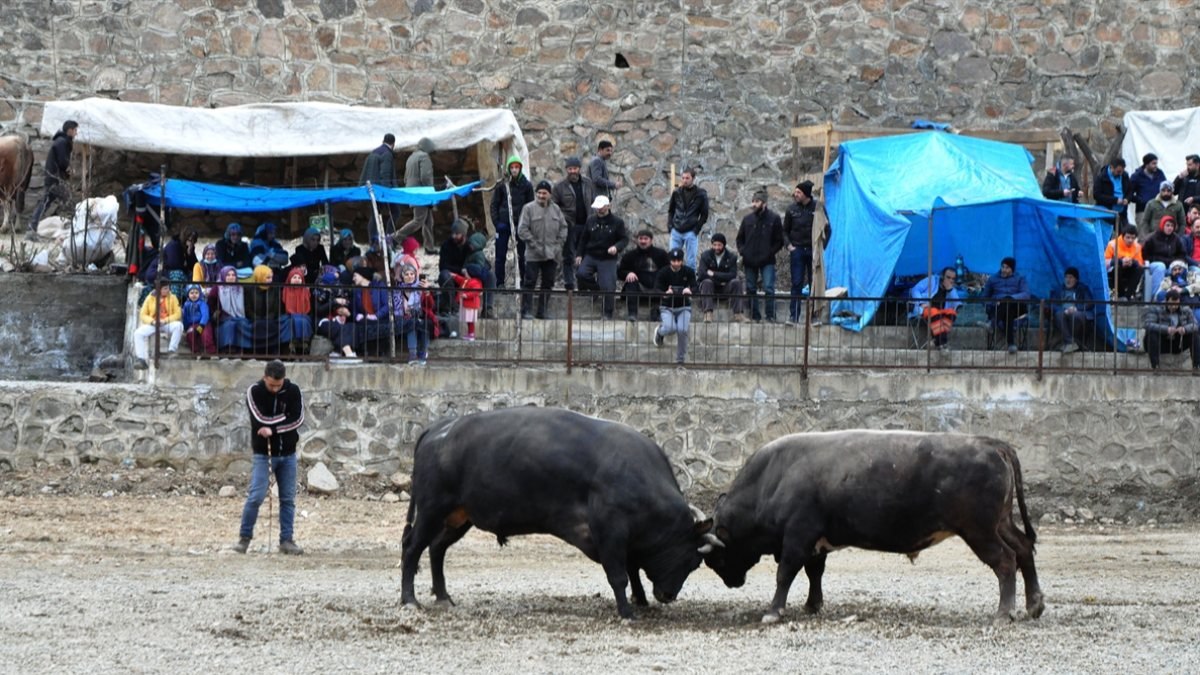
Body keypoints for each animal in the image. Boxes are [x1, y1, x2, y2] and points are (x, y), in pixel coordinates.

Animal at [403, 401, 715, 619]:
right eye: (693, 561)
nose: (668, 595)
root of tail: (440, 428)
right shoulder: (610, 533)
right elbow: (620, 575)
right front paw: (627, 612)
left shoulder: (625, 540)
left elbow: (633, 567)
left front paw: (640, 599)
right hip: (432, 510)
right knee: (412, 548)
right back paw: (409, 600)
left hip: (458, 516)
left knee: (437, 548)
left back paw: (443, 596)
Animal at [700, 427, 1041, 624]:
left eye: (717, 558)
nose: (733, 583)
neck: (774, 478)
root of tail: (992, 444)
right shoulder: (816, 542)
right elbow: (814, 573)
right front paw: (812, 605)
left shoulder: (797, 537)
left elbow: (785, 573)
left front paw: (774, 611)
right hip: (1001, 524)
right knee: (1024, 549)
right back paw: (1034, 605)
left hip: (979, 531)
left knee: (1006, 560)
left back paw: (1004, 613)